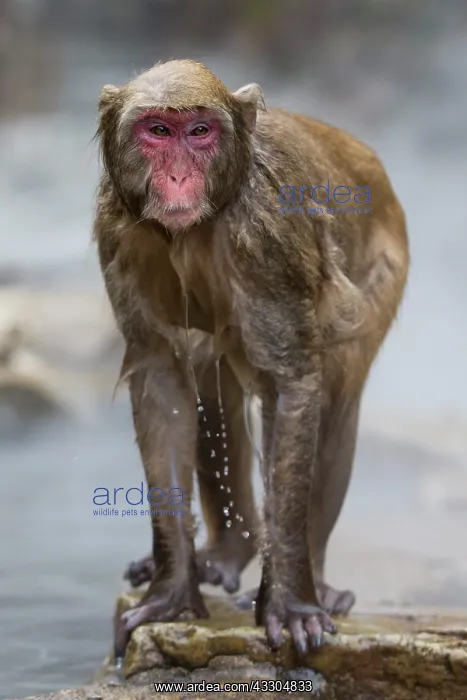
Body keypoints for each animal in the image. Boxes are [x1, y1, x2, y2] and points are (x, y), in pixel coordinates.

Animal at [93, 59, 409, 660]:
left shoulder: (268, 233)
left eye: (199, 132)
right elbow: (163, 383)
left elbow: (291, 387)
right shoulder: (116, 231)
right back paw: (224, 554)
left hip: (385, 269)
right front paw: (171, 590)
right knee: (209, 377)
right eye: (157, 131)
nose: (177, 178)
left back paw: (318, 584)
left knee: (332, 400)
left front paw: (290, 603)